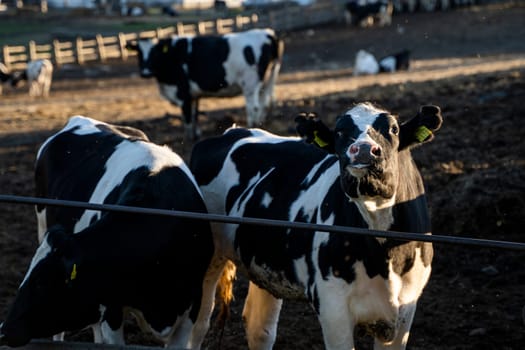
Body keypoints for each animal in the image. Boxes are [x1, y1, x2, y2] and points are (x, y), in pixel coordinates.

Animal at [0, 115, 220, 348]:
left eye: (41, 282)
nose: (4, 330)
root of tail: (78, 119)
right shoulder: (111, 308)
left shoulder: (191, 305)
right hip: (41, 224)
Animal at [126, 28, 282, 142]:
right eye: (139, 53)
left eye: (155, 52)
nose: (145, 72)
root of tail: (267, 33)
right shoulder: (194, 94)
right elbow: (195, 115)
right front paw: (197, 134)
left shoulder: (183, 94)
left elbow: (188, 119)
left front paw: (189, 139)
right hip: (265, 82)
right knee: (263, 103)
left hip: (250, 84)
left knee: (253, 107)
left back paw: (250, 126)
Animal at [189, 102, 442, 348]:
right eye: (339, 132)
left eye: (394, 129)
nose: (362, 150)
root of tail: (231, 131)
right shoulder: (332, 306)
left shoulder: (406, 308)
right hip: (209, 259)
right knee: (200, 324)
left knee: (259, 329)